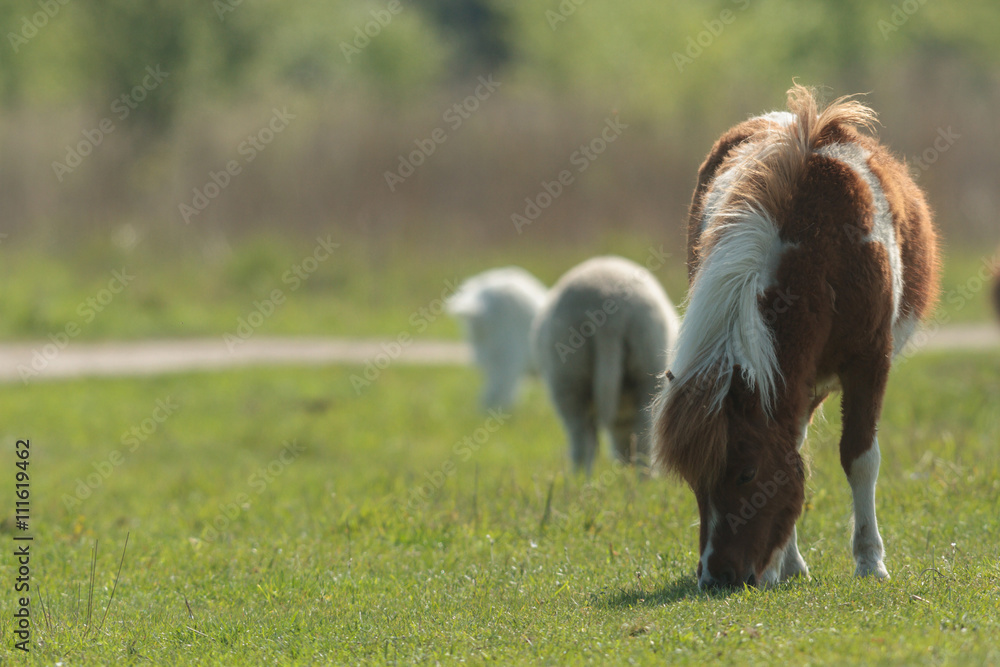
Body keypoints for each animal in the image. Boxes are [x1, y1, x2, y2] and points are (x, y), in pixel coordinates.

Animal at [653, 84, 939, 588]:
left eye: (747, 474)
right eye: (693, 483)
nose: (717, 576)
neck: (822, 244)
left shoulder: (870, 359)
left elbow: (859, 457)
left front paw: (870, 561)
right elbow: (795, 450)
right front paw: (785, 564)